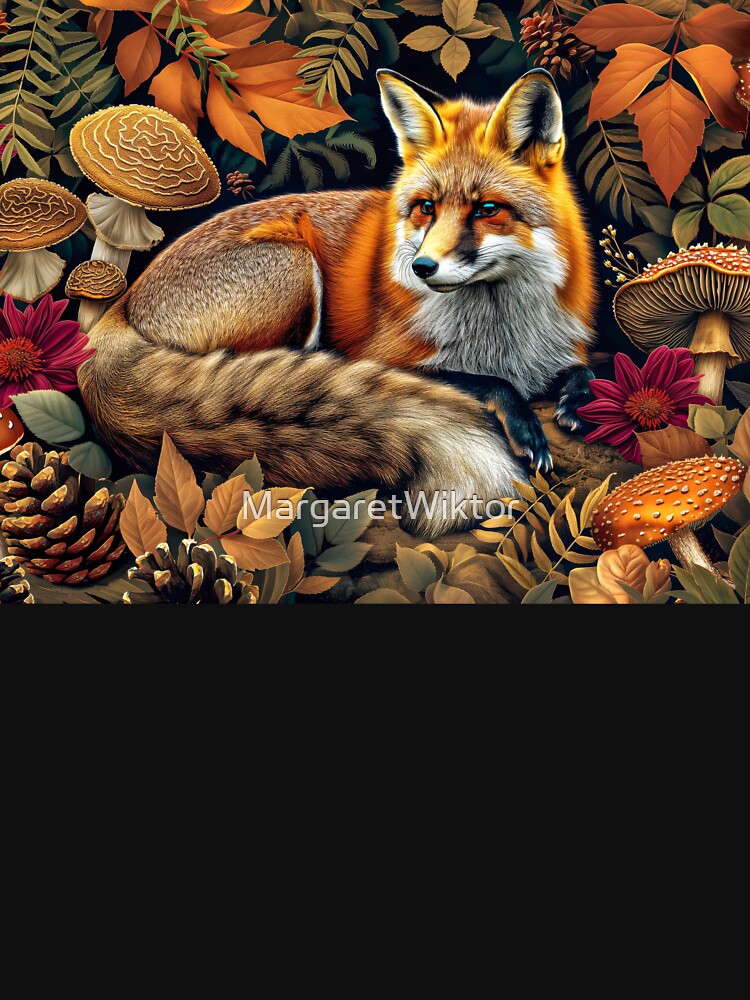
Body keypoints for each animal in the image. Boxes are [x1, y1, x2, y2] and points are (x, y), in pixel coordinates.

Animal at [78, 68, 597, 537]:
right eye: (426, 207)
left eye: (488, 209)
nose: (422, 268)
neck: (501, 333)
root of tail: (125, 302)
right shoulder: (382, 355)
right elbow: (489, 383)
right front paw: (524, 423)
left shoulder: (555, 351)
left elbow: (582, 372)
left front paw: (576, 399)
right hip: (294, 270)